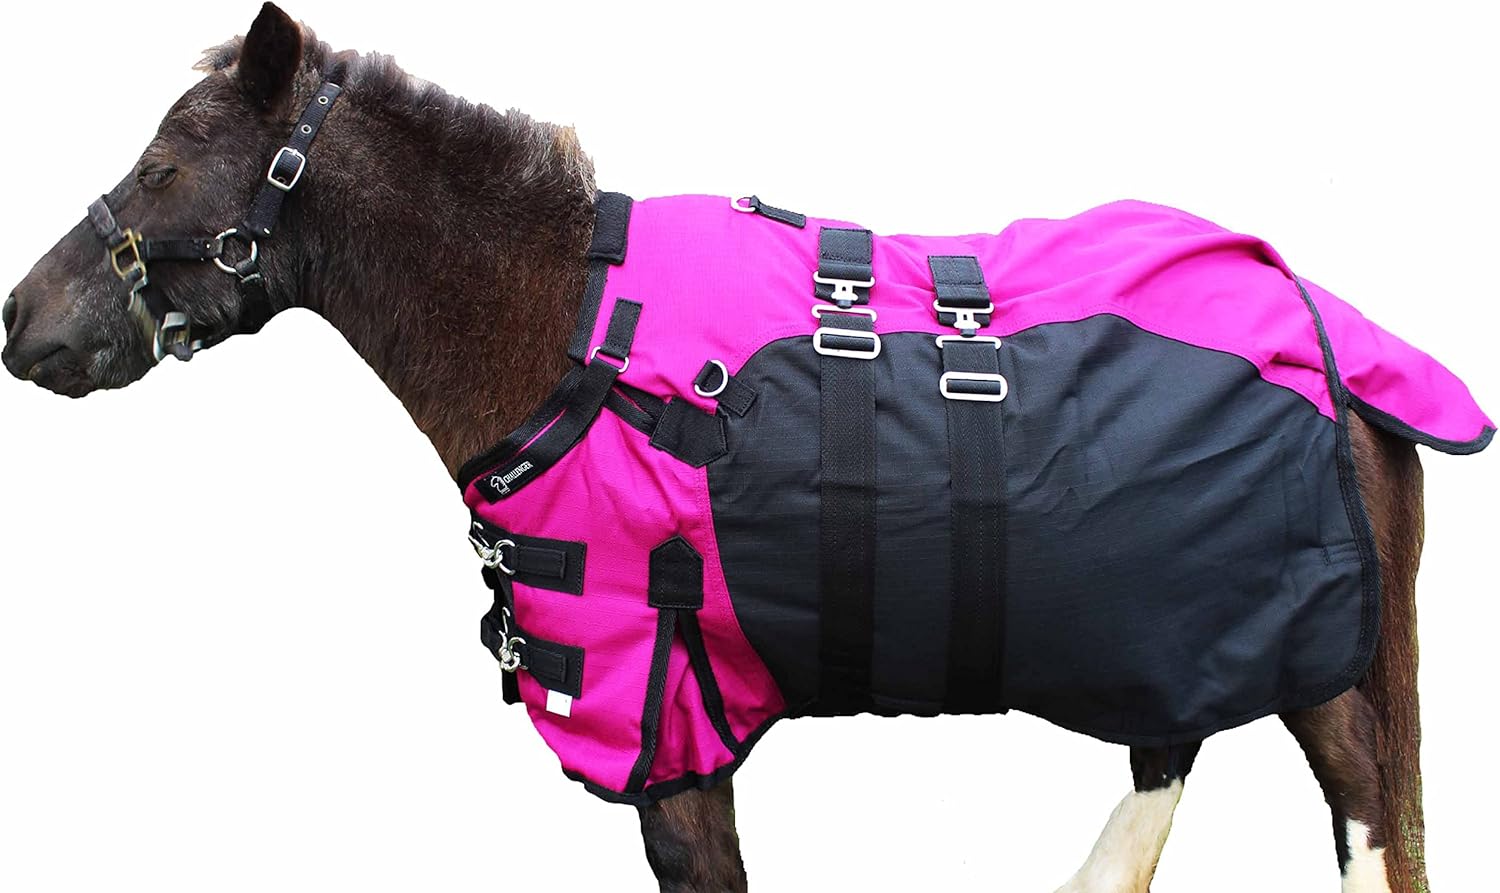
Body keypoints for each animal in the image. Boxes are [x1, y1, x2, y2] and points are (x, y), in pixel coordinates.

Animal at [2, 4, 1487, 891]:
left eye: (170, 162)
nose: (21, 319)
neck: (565, 327)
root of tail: (1337, 336)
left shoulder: (669, 733)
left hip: (1315, 664)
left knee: (1363, 815)